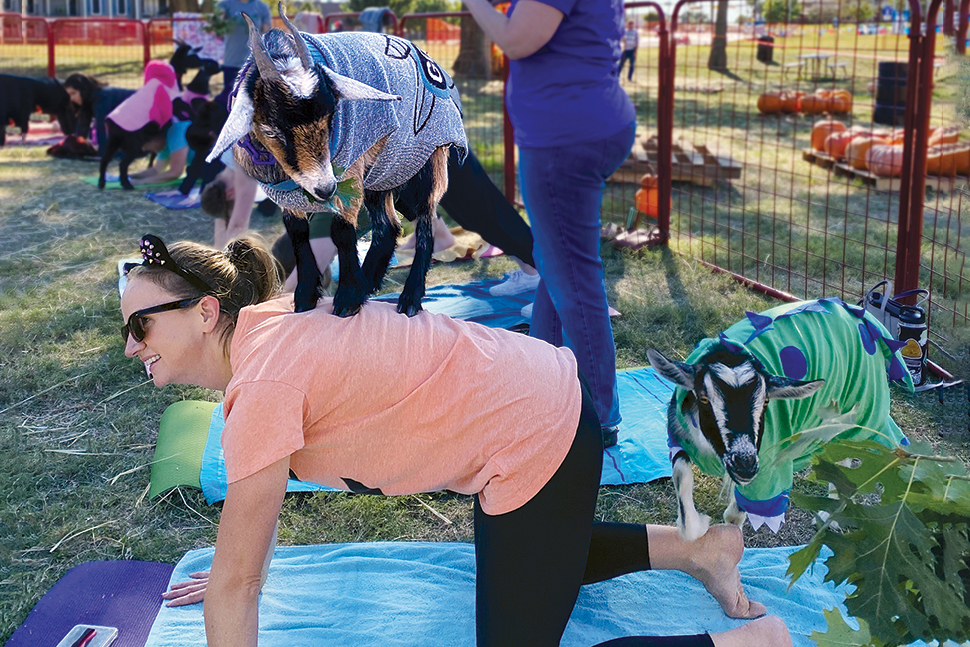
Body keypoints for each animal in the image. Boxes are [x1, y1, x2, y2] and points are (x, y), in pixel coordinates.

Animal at [206, 4, 466, 318]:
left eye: (332, 116)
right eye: (270, 130)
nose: (325, 189)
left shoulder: (350, 176)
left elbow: (341, 232)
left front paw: (347, 299)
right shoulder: (287, 197)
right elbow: (297, 233)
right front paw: (306, 296)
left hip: (429, 160)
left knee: (426, 221)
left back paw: (410, 298)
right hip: (382, 172)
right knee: (388, 226)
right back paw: (369, 282)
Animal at [648, 298, 912, 540]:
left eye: (766, 402)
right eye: (703, 398)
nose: (744, 464)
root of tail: (860, 314)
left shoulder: (765, 467)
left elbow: (735, 515)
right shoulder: (678, 437)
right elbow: (682, 476)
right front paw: (699, 525)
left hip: (864, 408)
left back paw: (831, 517)